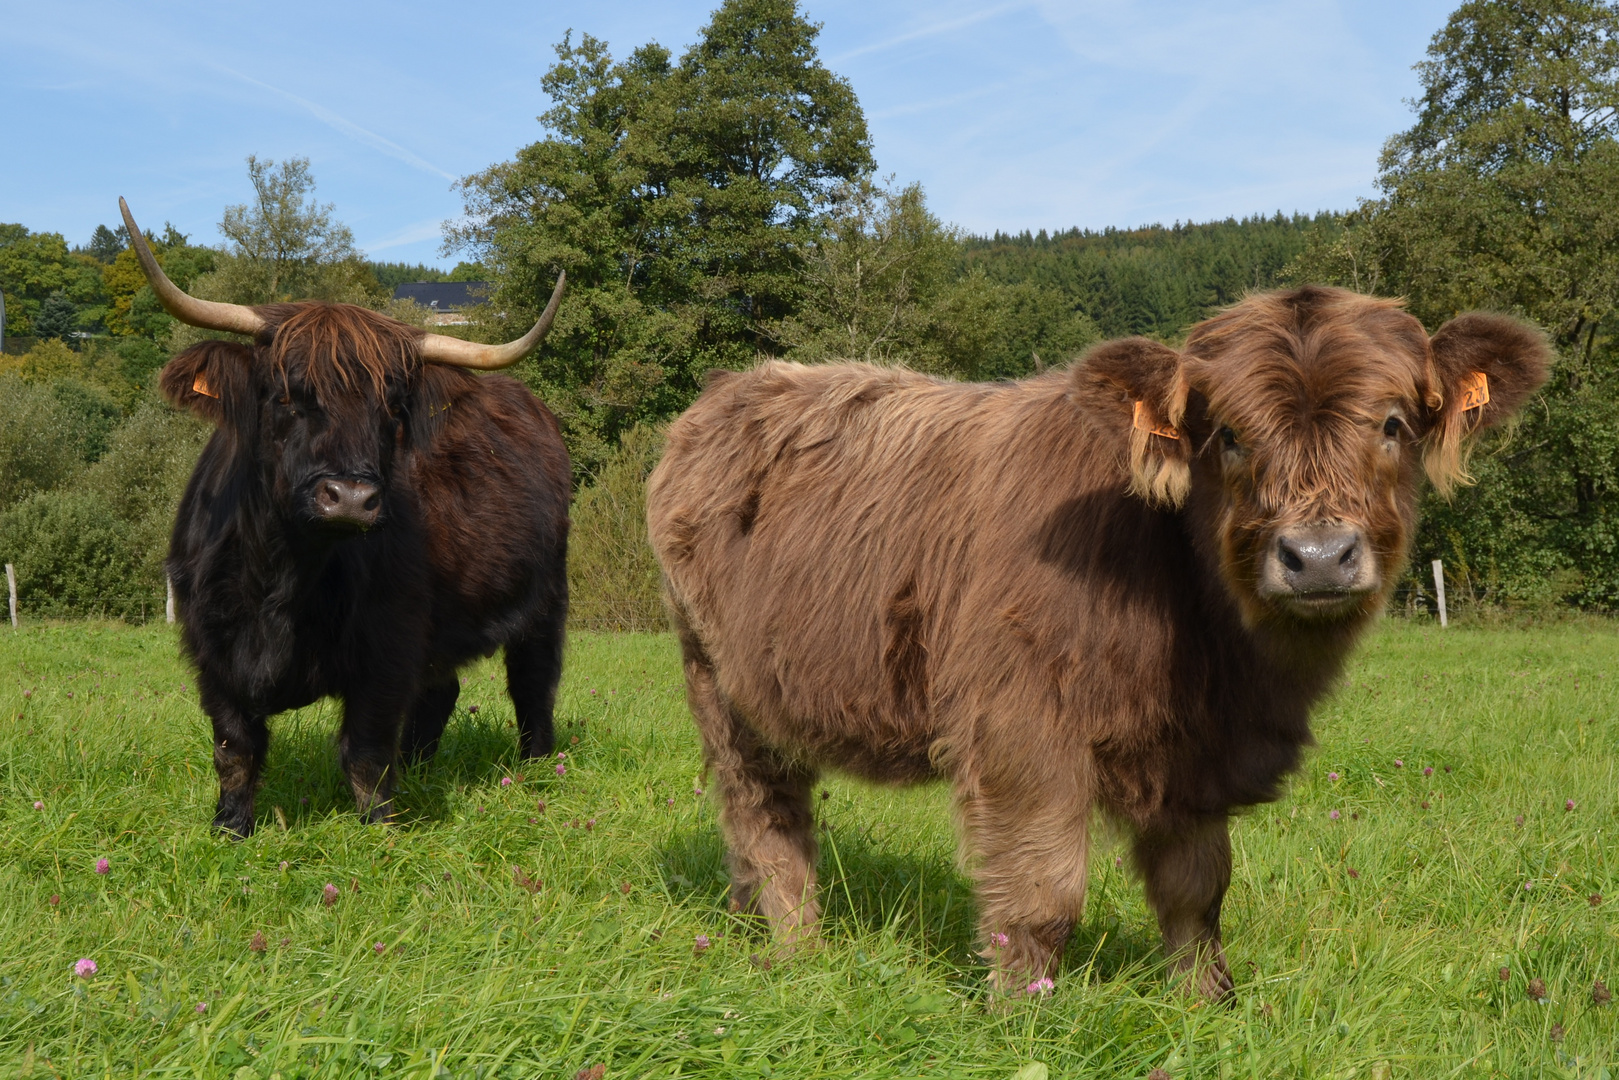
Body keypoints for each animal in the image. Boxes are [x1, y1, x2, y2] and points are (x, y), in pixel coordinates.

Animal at [647, 284, 1554, 997]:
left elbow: (1196, 891)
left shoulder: (1197, 757)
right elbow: (1040, 897)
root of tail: (741, 385)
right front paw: (1021, 1016)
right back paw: (799, 953)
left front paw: (1207, 1003)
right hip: (718, 682)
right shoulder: (1017, 734)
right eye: (1228, 434)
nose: (1318, 556)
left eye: (1392, 423)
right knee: (766, 819)